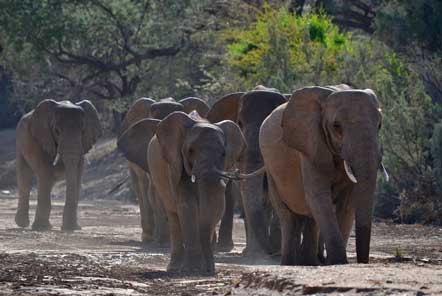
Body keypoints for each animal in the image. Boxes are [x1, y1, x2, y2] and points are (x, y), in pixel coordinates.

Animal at [14, 99, 102, 231]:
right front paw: (41, 228)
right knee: (25, 177)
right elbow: (45, 170)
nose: (71, 228)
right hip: (21, 143)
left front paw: (73, 228)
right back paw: (23, 224)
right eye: (57, 131)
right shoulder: (39, 138)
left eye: (83, 130)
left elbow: (76, 173)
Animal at [148, 111, 245, 276]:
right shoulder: (175, 165)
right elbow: (187, 206)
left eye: (223, 153)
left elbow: (212, 210)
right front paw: (192, 270)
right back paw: (174, 268)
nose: (210, 271)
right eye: (190, 151)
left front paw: (204, 269)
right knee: (173, 215)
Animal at [258, 85, 386, 266]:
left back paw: (309, 262)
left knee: (309, 216)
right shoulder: (309, 146)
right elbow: (318, 196)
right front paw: (338, 262)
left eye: (380, 125)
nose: (363, 262)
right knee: (288, 216)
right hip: (270, 168)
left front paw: (334, 262)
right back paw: (291, 263)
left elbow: (348, 203)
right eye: (336, 126)